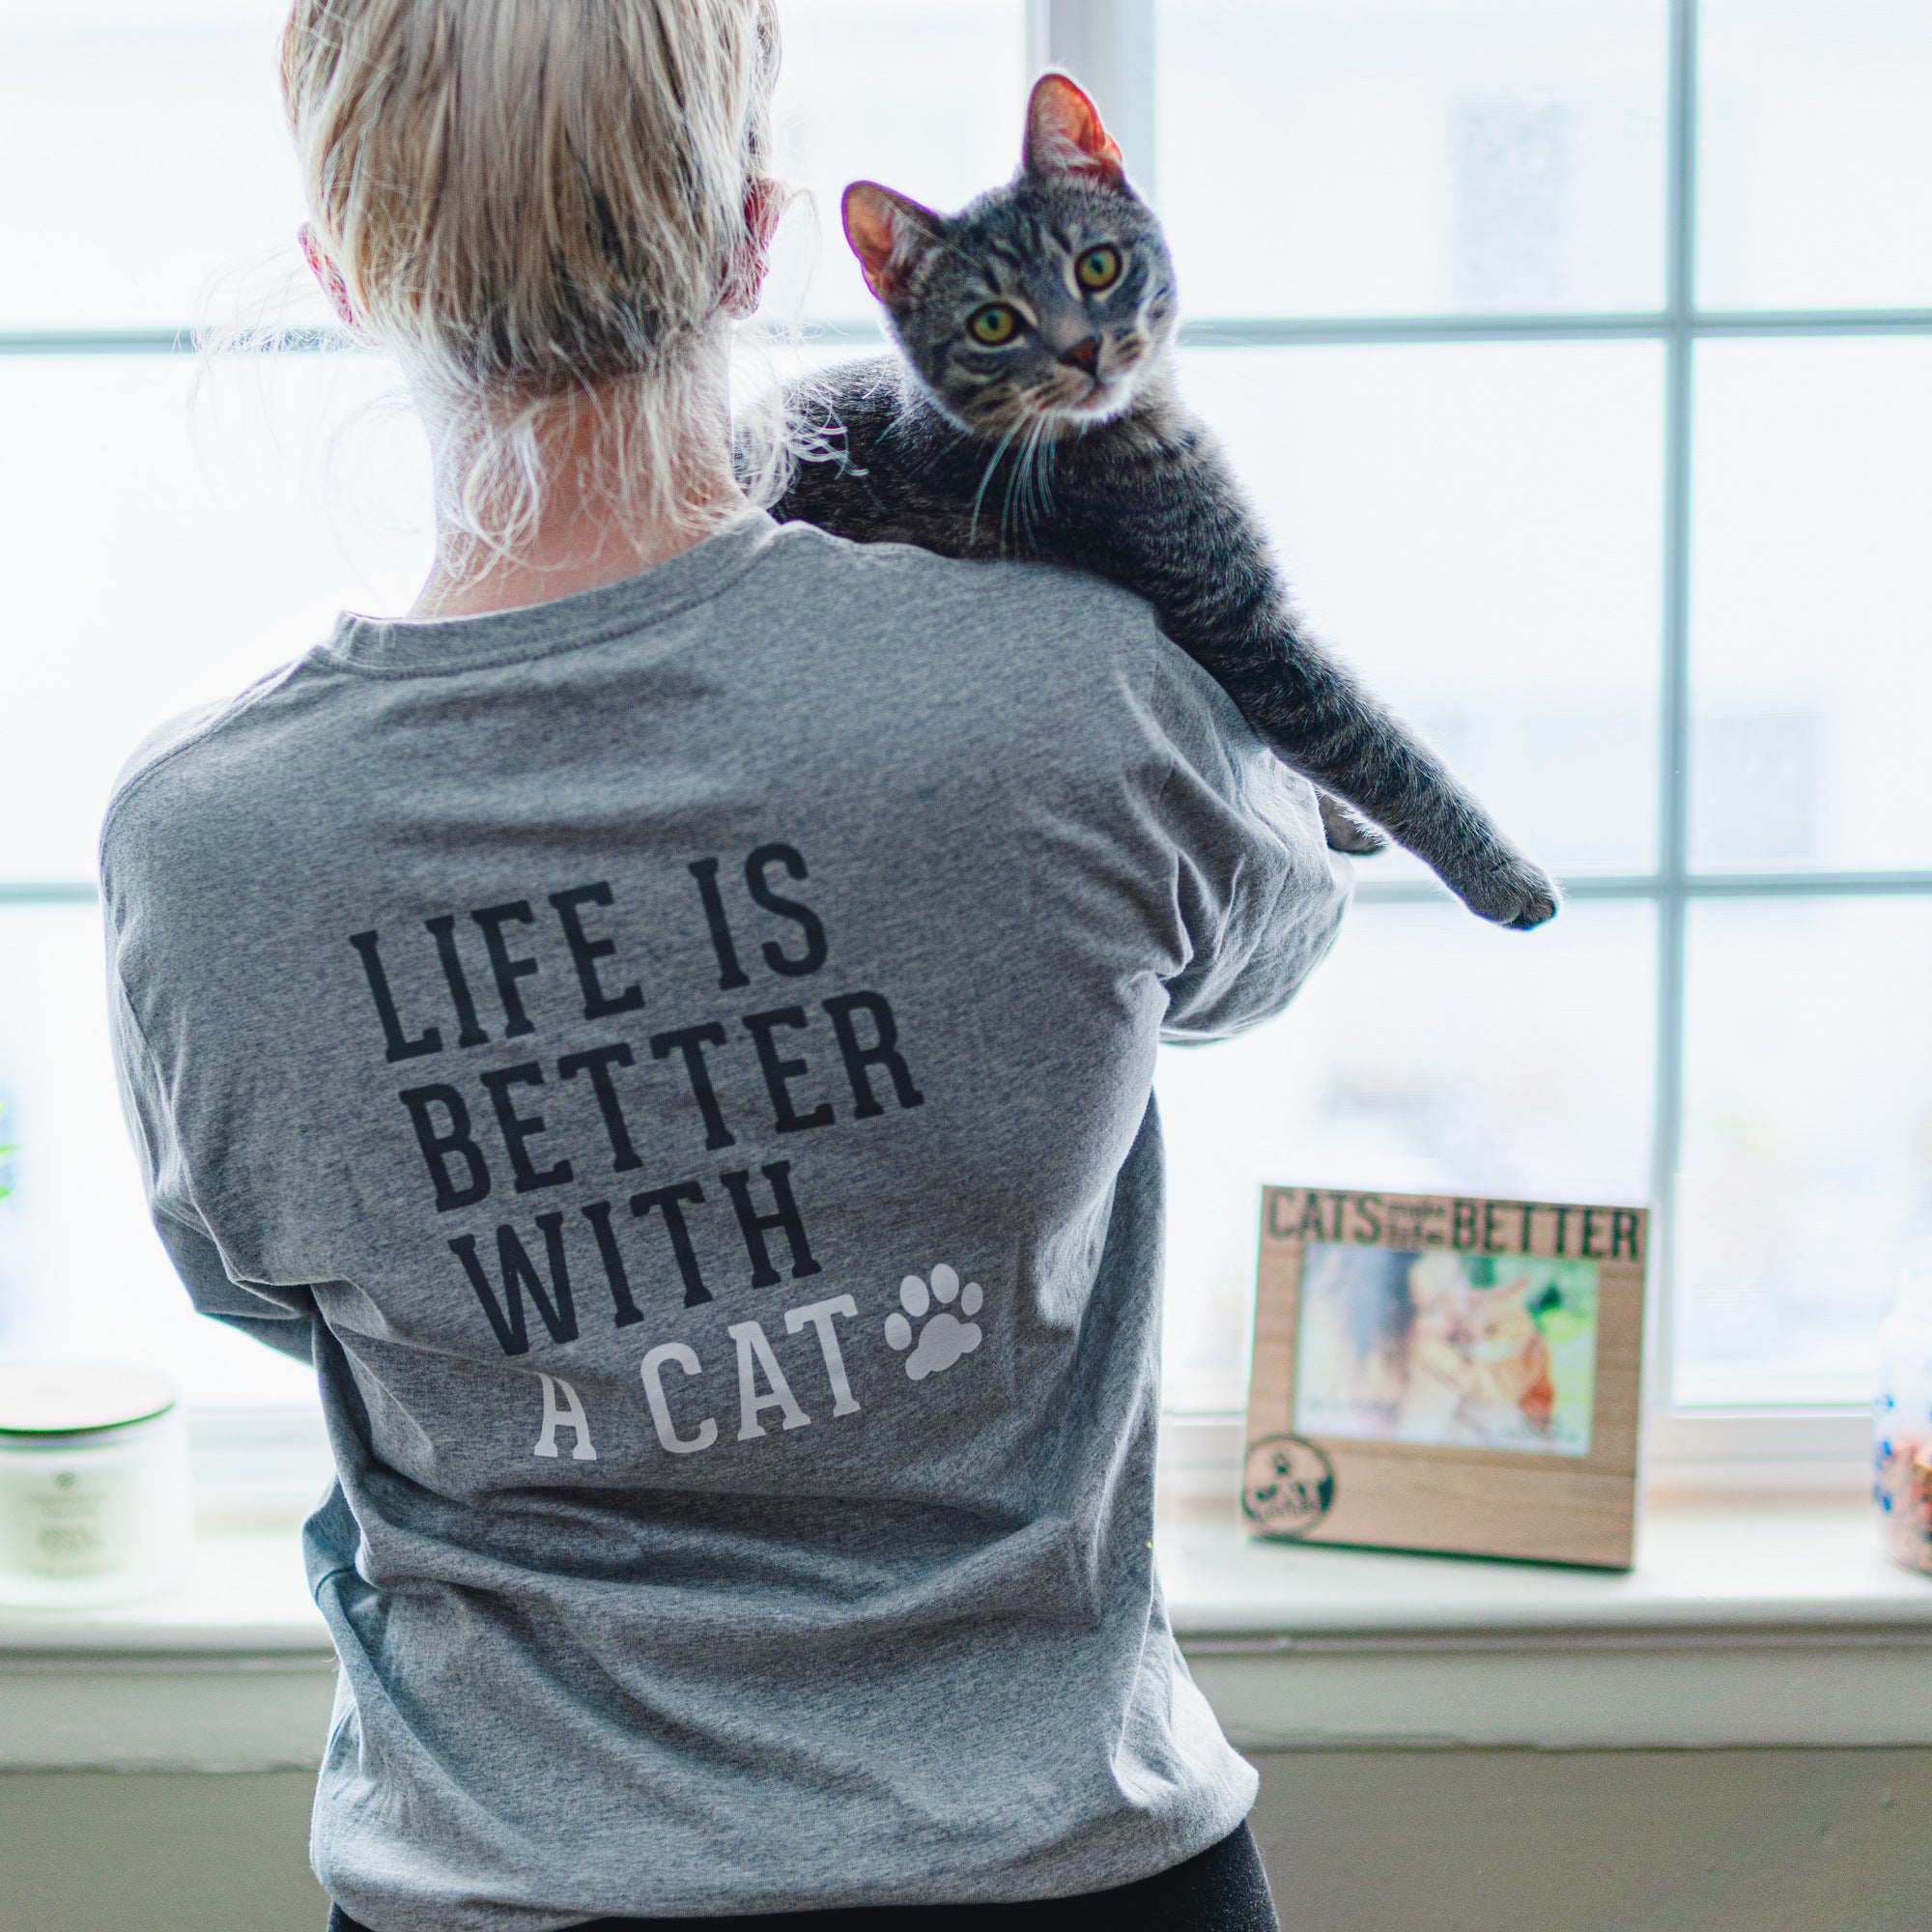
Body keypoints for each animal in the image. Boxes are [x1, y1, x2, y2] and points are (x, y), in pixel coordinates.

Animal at [766, 73, 1558, 929]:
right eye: (993, 322)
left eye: (1098, 267)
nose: (1083, 347)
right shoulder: (1244, 627)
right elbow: (1377, 747)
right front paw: (1501, 872)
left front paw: (1341, 822)